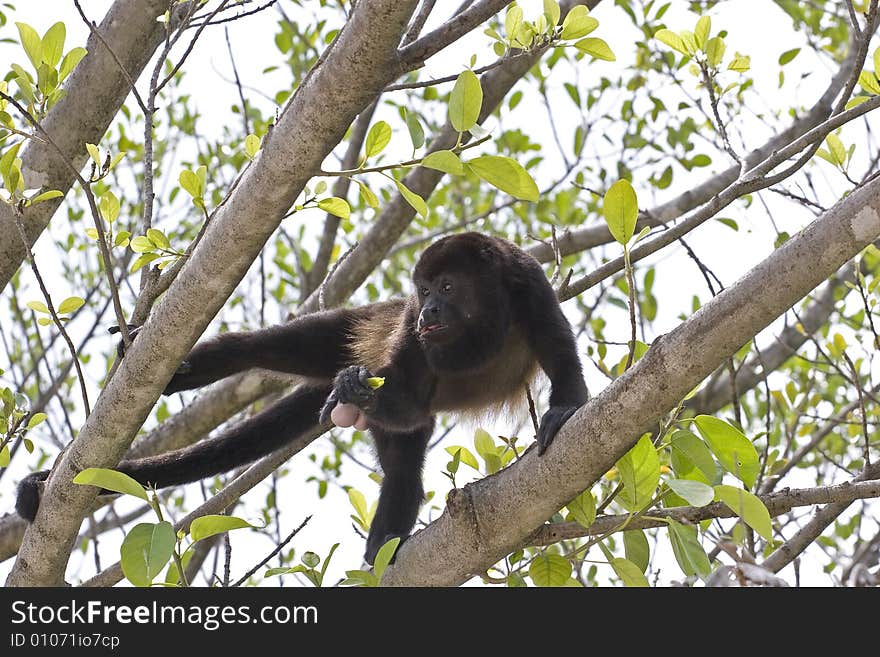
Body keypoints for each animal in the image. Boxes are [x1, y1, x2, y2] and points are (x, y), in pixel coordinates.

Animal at [13, 232, 588, 564]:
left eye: (447, 287)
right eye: (423, 291)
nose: (428, 311)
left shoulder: (528, 284)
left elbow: (558, 350)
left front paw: (565, 406)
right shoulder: (406, 334)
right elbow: (404, 395)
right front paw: (356, 389)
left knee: (406, 465)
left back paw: (384, 540)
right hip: (372, 324)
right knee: (289, 342)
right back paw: (196, 365)